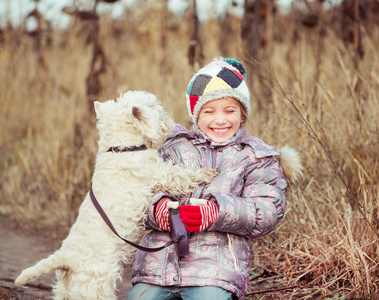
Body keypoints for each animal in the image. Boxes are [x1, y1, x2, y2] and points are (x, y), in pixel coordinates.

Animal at [14, 91, 217, 300]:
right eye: (155, 109)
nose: (169, 122)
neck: (122, 148)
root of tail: (66, 258)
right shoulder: (157, 173)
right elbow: (180, 175)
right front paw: (206, 173)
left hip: (65, 289)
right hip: (96, 283)